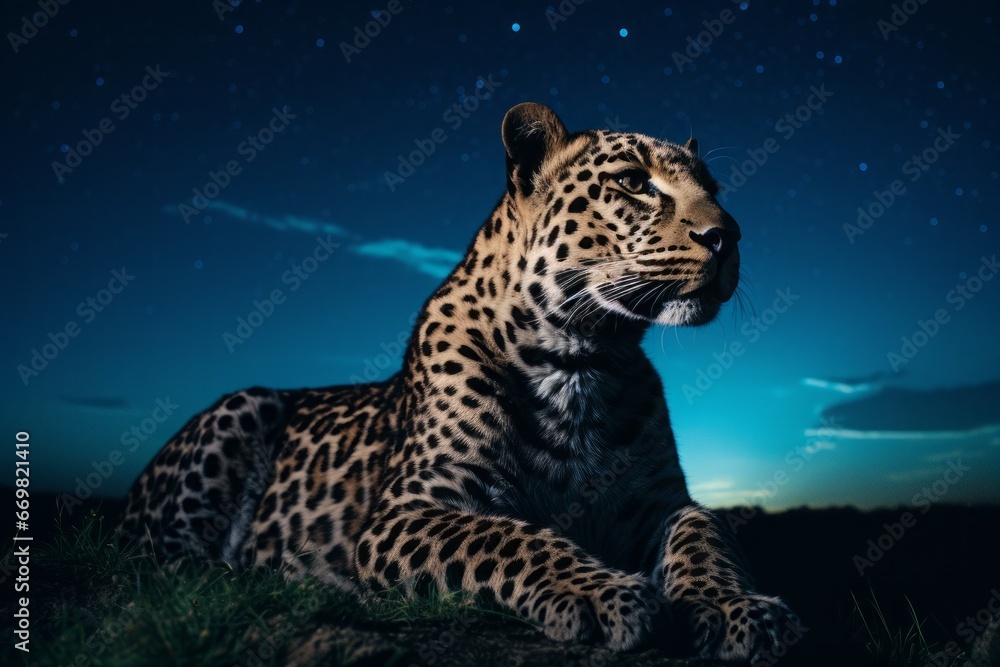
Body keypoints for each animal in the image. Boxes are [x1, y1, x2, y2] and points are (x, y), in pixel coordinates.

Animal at [119, 102, 800, 661]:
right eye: (634, 182)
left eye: (713, 188)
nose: (728, 236)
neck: (582, 360)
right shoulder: (410, 509)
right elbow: (509, 538)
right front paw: (602, 593)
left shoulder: (662, 503)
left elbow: (705, 538)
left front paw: (735, 609)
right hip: (243, 408)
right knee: (159, 563)